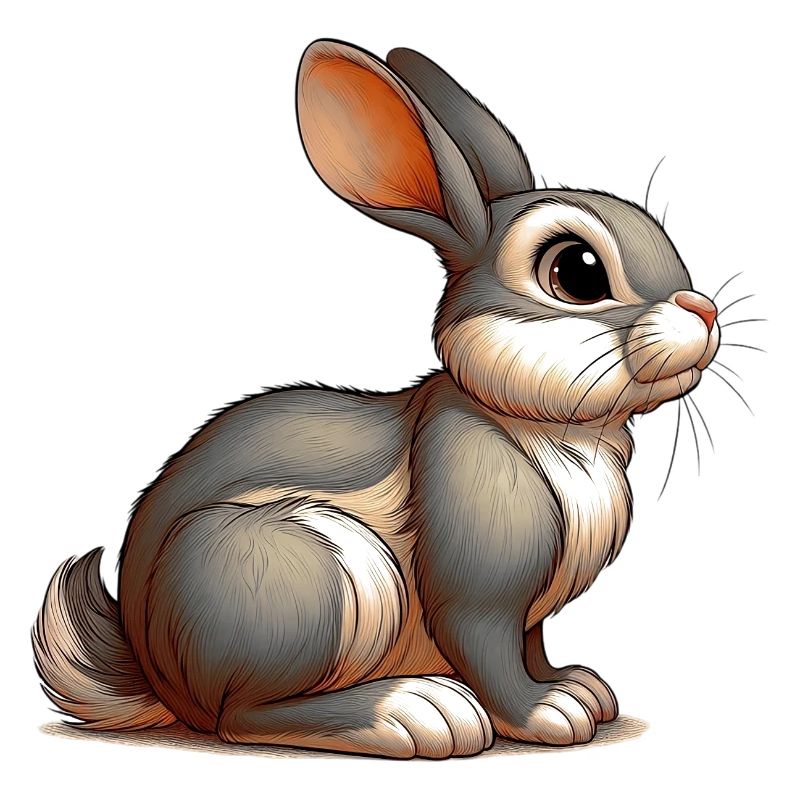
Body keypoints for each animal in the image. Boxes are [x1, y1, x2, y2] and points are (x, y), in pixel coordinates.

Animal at [32, 39, 721, 759]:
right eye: (576, 272)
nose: (703, 311)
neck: (538, 425)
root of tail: (161, 678)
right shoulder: (477, 593)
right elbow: (490, 651)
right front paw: (549, 714)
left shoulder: (529, 617)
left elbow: (531, 649)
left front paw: (578, 688)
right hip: (316, 574)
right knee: (244, 716)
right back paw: (416, 712)